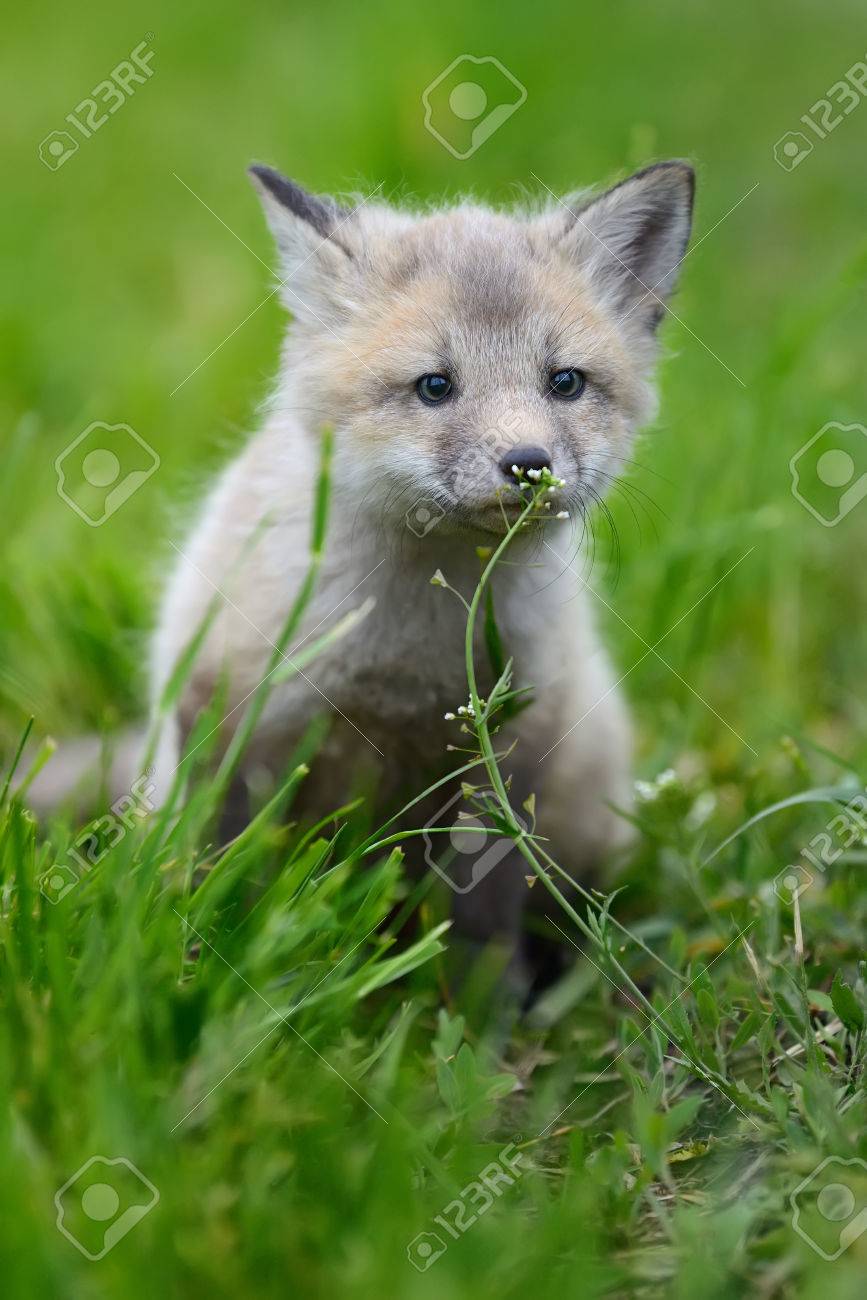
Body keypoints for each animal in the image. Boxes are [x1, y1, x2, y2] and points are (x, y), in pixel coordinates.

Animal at [35, 160, 695, 989]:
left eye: (565, 383)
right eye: (435, 386)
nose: (528, 465)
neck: (409, 643)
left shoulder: (508, 756)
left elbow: (482, 925)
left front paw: (480, 1015)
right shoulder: (230, 717)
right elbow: (218, 869)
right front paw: (205, 965)